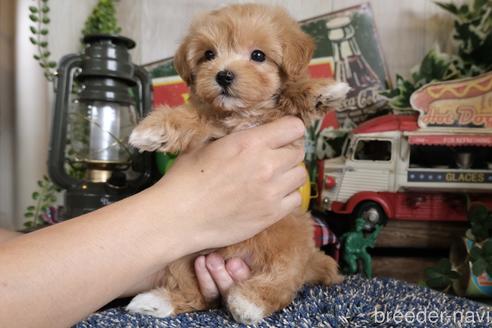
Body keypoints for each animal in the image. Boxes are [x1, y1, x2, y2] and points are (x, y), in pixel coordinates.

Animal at [129, 3, 348, 324]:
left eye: (258, 55)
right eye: (209, 54)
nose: (224, 76)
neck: (241, 114)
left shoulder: (284, 115)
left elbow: (293, 93)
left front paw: (324, 90)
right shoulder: (207, 122)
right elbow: (189, 115)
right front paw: (151, 131)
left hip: (290, 244)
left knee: (282, 280)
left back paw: (250, 301)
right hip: (184, 254)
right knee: (197, 294)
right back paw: (158, 301)